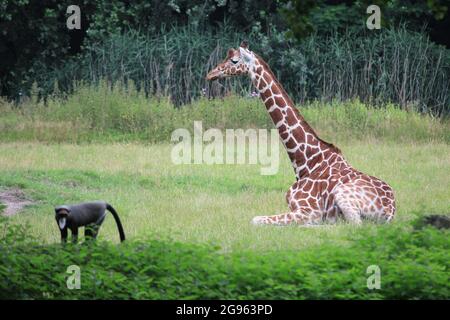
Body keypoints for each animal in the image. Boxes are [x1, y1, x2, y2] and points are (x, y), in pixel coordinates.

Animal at [206, 42, 396, 225]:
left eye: (234, 61)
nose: (210, 74)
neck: (306, 161)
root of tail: (390, 210)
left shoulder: (309, 210)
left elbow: (256, 219)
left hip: (343, 196)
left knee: (355, 224)